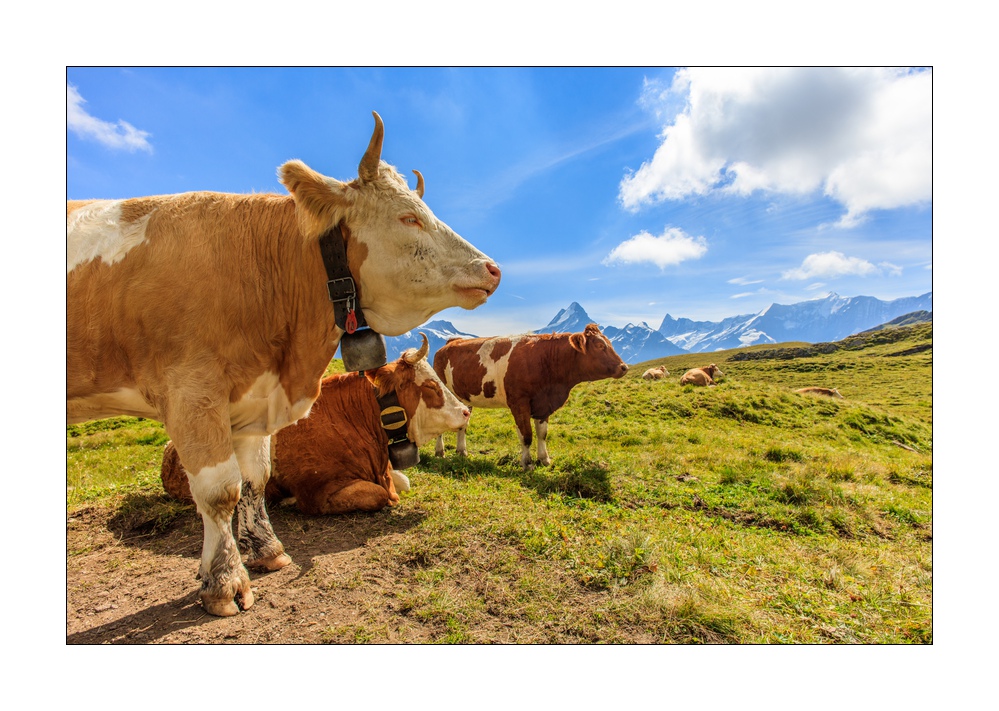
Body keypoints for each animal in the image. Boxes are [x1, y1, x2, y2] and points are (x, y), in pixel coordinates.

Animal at [433, 324, 628, 470]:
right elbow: (526, 435)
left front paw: (544, 459)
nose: (624, 367)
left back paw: (461, 452)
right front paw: (527, 463)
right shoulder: (519, 403)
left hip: (462, 399)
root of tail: (451, 342)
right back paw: (440, 452)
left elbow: (542, 434)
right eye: (600, 346)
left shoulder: (543, 405)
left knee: (462, 425)